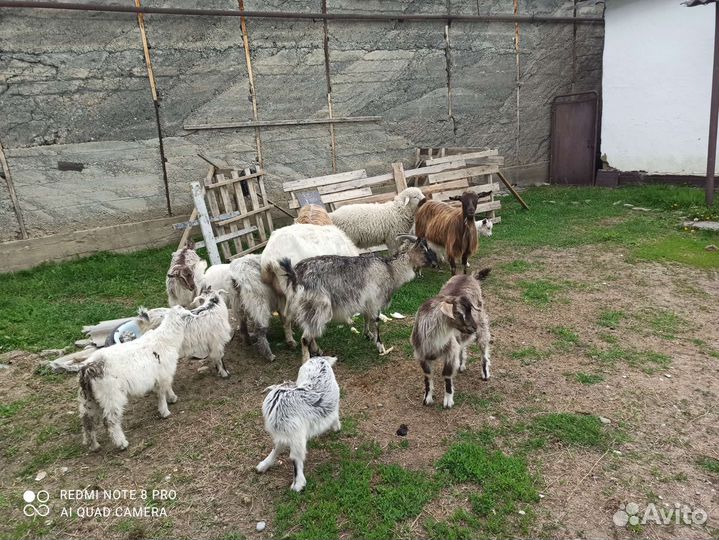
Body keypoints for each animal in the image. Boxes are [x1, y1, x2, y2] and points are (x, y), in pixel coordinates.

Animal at [79, 305, 194, 451]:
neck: (166, 339)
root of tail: (88, 369)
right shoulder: (163, 374)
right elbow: (162, 392)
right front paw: (165, 410)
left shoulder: (162, 375)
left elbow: (166, 388)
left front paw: (172, 398)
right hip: (111, 395)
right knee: (110, 420)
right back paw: (121, 443)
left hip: (88, 399)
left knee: (87, 421)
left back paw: (93, 445)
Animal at [256, 356, 340, 491]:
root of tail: (320, 359)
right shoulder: (284, 436)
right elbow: (276, 448)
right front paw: (263, 465)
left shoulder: (296, 437)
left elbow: (295, 459)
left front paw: (298, 485)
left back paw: (336, 427)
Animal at [280, 235, 438, 362]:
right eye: (424, 249)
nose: (435, 264)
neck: (390, 269)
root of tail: (295, 274)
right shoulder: (375, 301)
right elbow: (376, 322)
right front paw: (380, 346)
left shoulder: (367, 302)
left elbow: (366, 318)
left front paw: (367, 334)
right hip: (318, 306)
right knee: (305, 338)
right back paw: (307, 360)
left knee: (310, 331)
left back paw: (318, 350)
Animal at [411, 268, 491, 409]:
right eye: (458, 313)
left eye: (470, 310)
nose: (473, 327)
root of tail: (469, 276)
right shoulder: (422, 355)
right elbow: (427, 376)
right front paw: (427, 398)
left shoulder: (450, 352)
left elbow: (447, 374)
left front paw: (448, 401)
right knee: (463, 345)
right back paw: (461, 365)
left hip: (482, 323)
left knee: (484, 348)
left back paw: (485, 373)